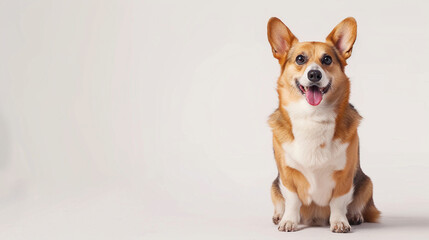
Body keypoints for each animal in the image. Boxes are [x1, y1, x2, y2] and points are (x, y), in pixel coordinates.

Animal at [266, 16, 380, 232]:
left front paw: (340, 222)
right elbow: (292, 200)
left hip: (366, 183)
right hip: (273, 186)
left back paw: (354, 216)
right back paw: (278, 216)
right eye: (300, 59)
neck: (313, 116)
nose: (314, 75)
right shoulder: (287, 174)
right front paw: (289, 221)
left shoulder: (345, 174)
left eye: (327, 59)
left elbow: (338, 201)